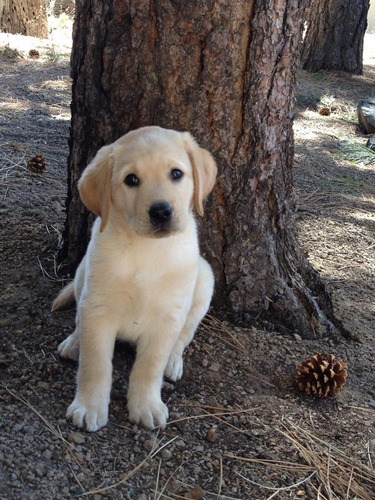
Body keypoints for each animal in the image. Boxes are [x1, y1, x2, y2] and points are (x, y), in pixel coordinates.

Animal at [53, 127, 217, 432]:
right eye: (131, 180)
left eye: (176, 174)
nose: (161, 211)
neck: (145, 249)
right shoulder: (98, 309)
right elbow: (95, 365)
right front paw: (89, 406)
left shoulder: (168, 317)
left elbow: (149, 367)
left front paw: (146, 405)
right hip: (82, 274)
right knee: (80, 320)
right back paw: (74, 342)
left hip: (204, 281)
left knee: (183, 337)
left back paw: (173, 362)